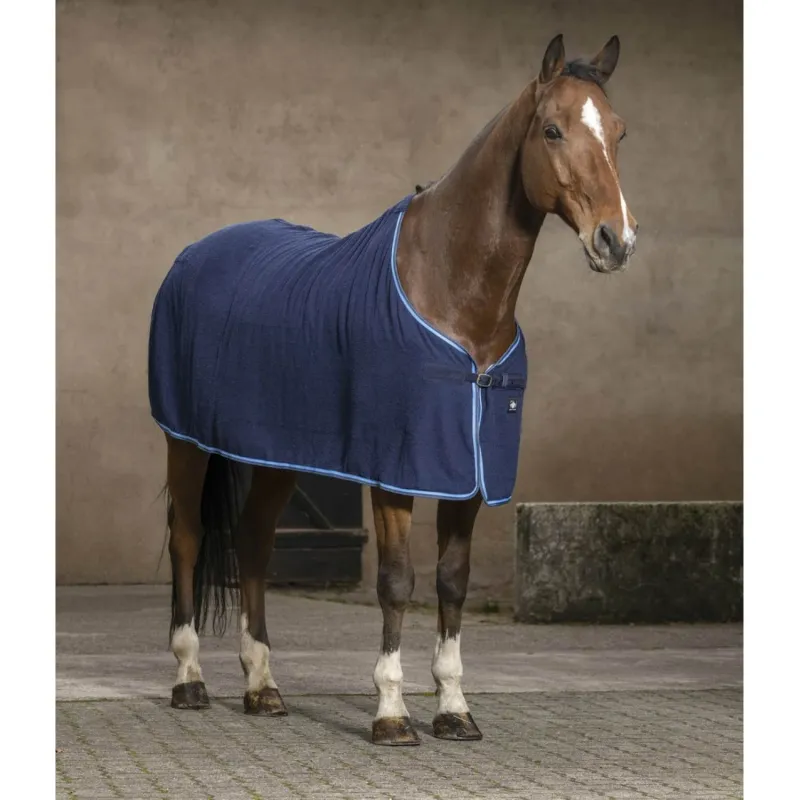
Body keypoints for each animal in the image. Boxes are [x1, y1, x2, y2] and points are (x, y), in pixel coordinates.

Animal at [149, 33, 638, 747]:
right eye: (551, 129)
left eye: (620, 132)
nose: (615, 241)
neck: (451, 291)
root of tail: (193, 255)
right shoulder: (396, 469)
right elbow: (396, 581)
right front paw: (391, 712)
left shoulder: (472, 471)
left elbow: (452, 583)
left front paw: (455, 709)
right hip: (186, 442)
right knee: (188, 537)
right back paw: (189, 679)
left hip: (275, 456)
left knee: (255, 543)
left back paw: (263, 686)